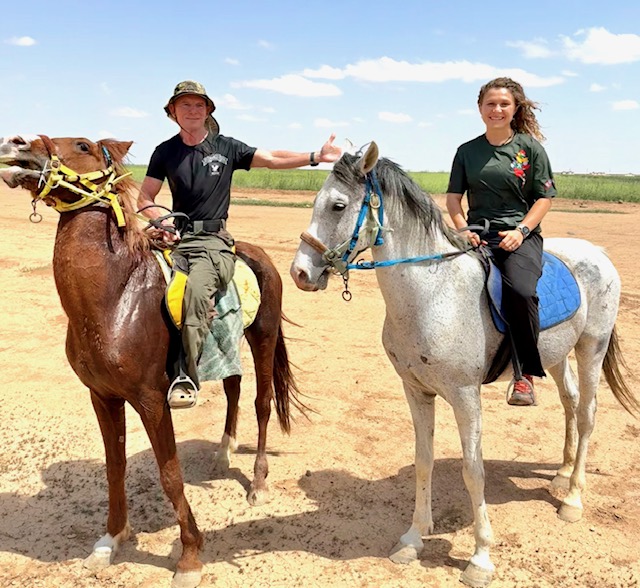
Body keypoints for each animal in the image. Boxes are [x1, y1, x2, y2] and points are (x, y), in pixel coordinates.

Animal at [0, 134, 305, 588]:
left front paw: (190, 556)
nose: (15, 143)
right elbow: (114, 467)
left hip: (263, 337)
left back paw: (257, 482)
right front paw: (110, 540)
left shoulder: (152, 401)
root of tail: (256, 254)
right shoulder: (102, 397)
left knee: (262, 404)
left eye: (82, 145)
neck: (114, 299)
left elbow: (170, 474)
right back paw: (224, 450)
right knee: (233, 387)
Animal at [289, 142, 638, 587]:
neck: (433, 293)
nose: (300, 272)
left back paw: (573, 498)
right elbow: (423, 461)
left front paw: (480, 558)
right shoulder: (416, 391)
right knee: (571, 404)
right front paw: (413, 538)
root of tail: (597, 252)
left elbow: (474, 472)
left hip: (591, 347)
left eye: (337, 205)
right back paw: (561, 473)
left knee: (589, 414)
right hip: (558, 356)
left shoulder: (464, 396)